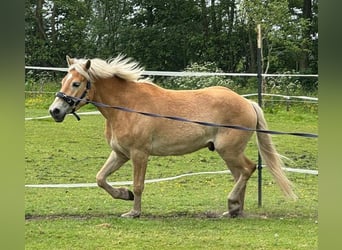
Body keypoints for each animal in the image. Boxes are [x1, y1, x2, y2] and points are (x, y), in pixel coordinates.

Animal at [48, 55, 296, 219]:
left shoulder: (139, 154)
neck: (126, 107)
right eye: (63, 82)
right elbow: (101, 178)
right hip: (229, 153)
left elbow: (139, 185)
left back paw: (232, 204)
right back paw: (234, 210)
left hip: (230, 150)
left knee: (248, 169)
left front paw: (134, 211)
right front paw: (124, 194)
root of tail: (247, 102)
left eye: (76, 83)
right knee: (240, 174)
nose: (55, 111)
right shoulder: (120, 154)